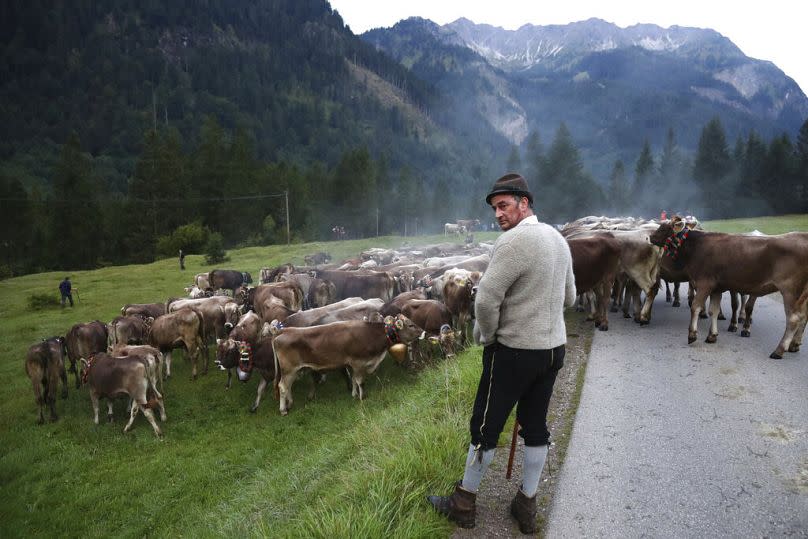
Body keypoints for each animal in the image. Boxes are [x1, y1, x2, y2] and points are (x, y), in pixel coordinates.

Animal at [272, 314, 422, 416]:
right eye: (411, 325)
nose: (422, 331)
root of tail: (285, 330)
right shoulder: (358, 362)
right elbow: (360, 381)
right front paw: (362, 397)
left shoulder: (351, 364)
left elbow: (354, 380)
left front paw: (354, 394)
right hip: (289, 370)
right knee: (283, 386)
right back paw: (283, 409)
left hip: (293, 371)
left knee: (288, 386)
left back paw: (290, 403)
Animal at [652, 224, 808, 358]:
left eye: (663, 228)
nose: (650, 237)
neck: (697, 246)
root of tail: (801, 235)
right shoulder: (716, 288)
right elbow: (713, 310)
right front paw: (712, 335)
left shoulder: (704, 284)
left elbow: (696, 307)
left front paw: (692, 334)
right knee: (803, 316)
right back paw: (794, 345)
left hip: (790, 290)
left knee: (794, 318)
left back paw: (779, 350)